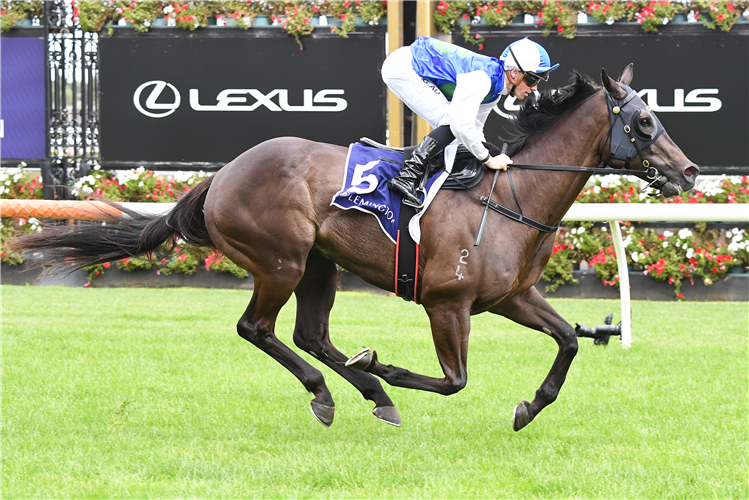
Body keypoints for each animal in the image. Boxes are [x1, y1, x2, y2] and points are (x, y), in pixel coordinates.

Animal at [14, 64, 700, 432]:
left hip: (321, 264)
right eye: (644, 122)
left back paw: (370, 394)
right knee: (257, 328)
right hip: (282, 259)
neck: (513, 194)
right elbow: (454, 380)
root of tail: (222, 174)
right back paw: (337, 390)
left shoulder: (511, 296)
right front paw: (387, 367)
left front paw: (529, 408)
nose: (691, 173)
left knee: (309, 334)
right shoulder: (446, 304)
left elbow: (566, 342)